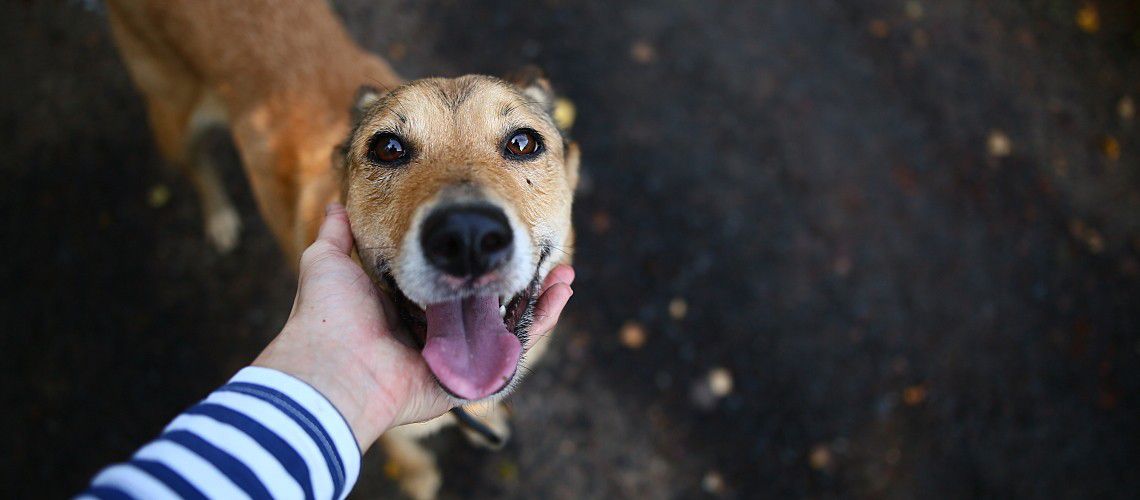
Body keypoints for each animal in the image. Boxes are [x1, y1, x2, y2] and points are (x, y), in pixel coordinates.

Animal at [104, 1, 579, 498]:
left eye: (523, 142)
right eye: (387, 148)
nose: (466, 237)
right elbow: (415, 466)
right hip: (171, 118)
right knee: (197, 166)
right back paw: (219, 216)